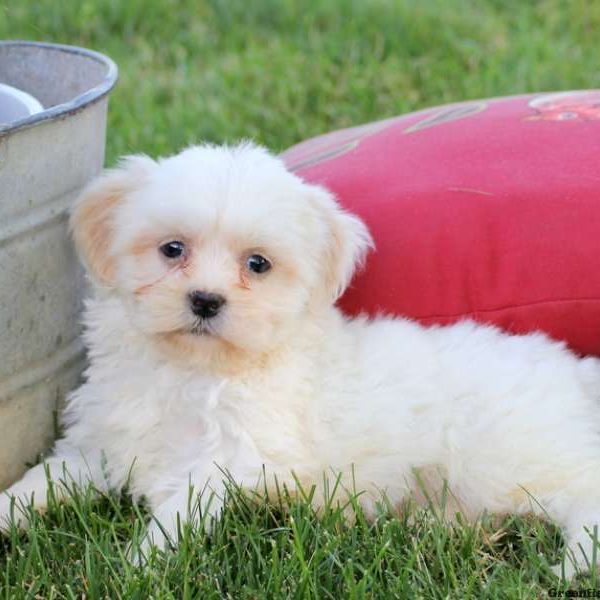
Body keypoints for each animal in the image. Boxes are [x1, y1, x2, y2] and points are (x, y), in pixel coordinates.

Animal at [3, 143, 600, 576]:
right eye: (172, 250)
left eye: (258, 264)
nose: (205, 300)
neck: (195, 369)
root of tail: (577, 373)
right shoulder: (100, 444)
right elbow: (45, 480)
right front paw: (9, 513)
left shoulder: (235, 457)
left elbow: (179, 510)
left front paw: (136, 566)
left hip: (516, 458)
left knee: (584, 494)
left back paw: (573, 564)